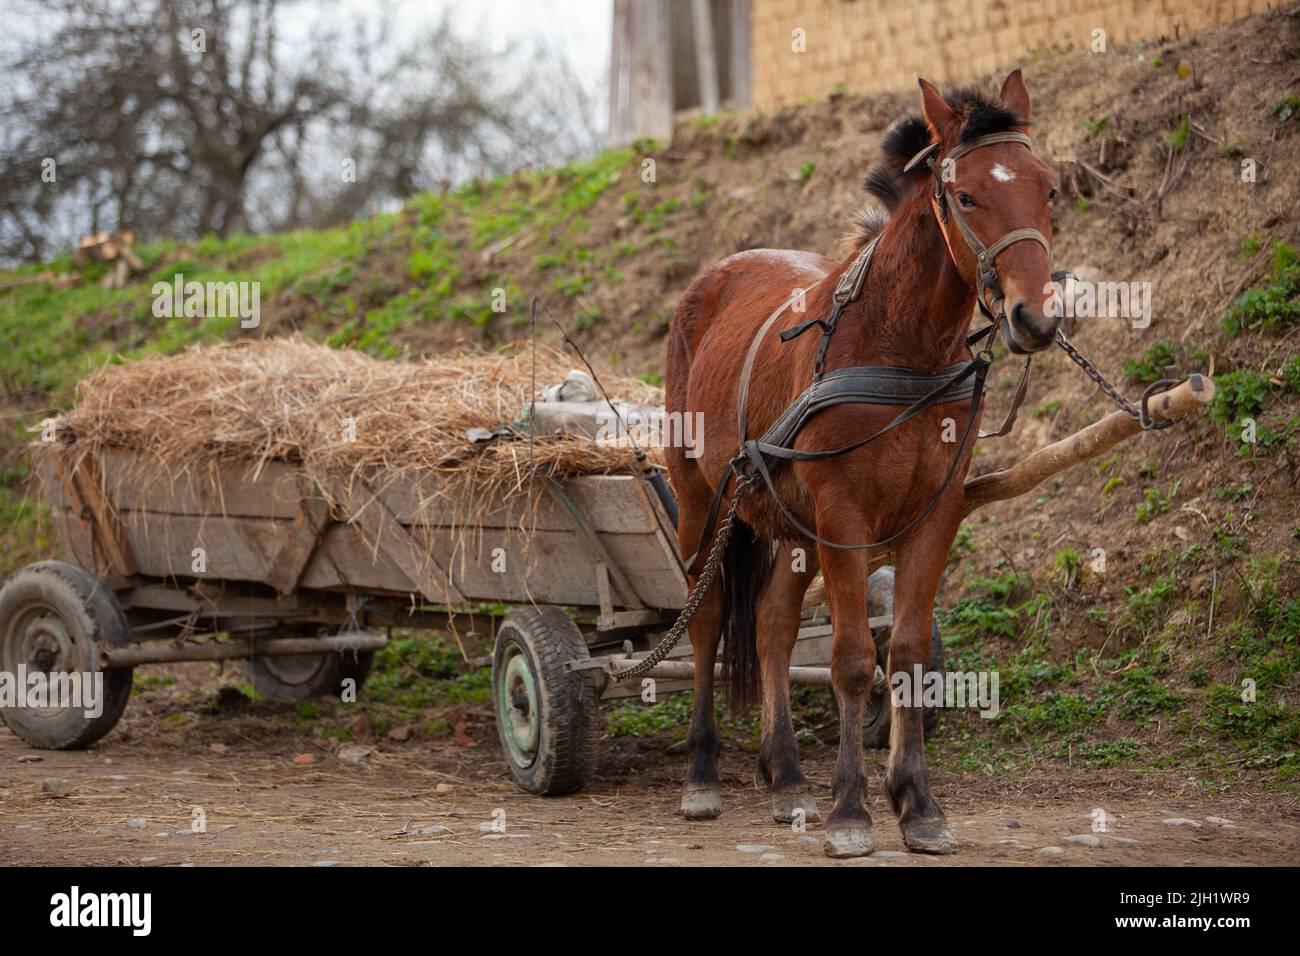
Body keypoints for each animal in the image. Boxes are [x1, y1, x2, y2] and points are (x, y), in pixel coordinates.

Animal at [665, 70, 1060, 858]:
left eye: (1050, 190)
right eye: (966, 196)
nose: (1034, 318)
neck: (900, 343)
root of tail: (713, 277)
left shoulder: (936, 512)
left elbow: (903, 653)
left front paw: (917, 803)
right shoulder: (844, 513)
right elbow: (851, 660)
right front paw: (851, 809)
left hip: (789, 523)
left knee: (772, 626)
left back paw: (787, 776)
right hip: (701, 499)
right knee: (708, 617)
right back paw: (702, 772)